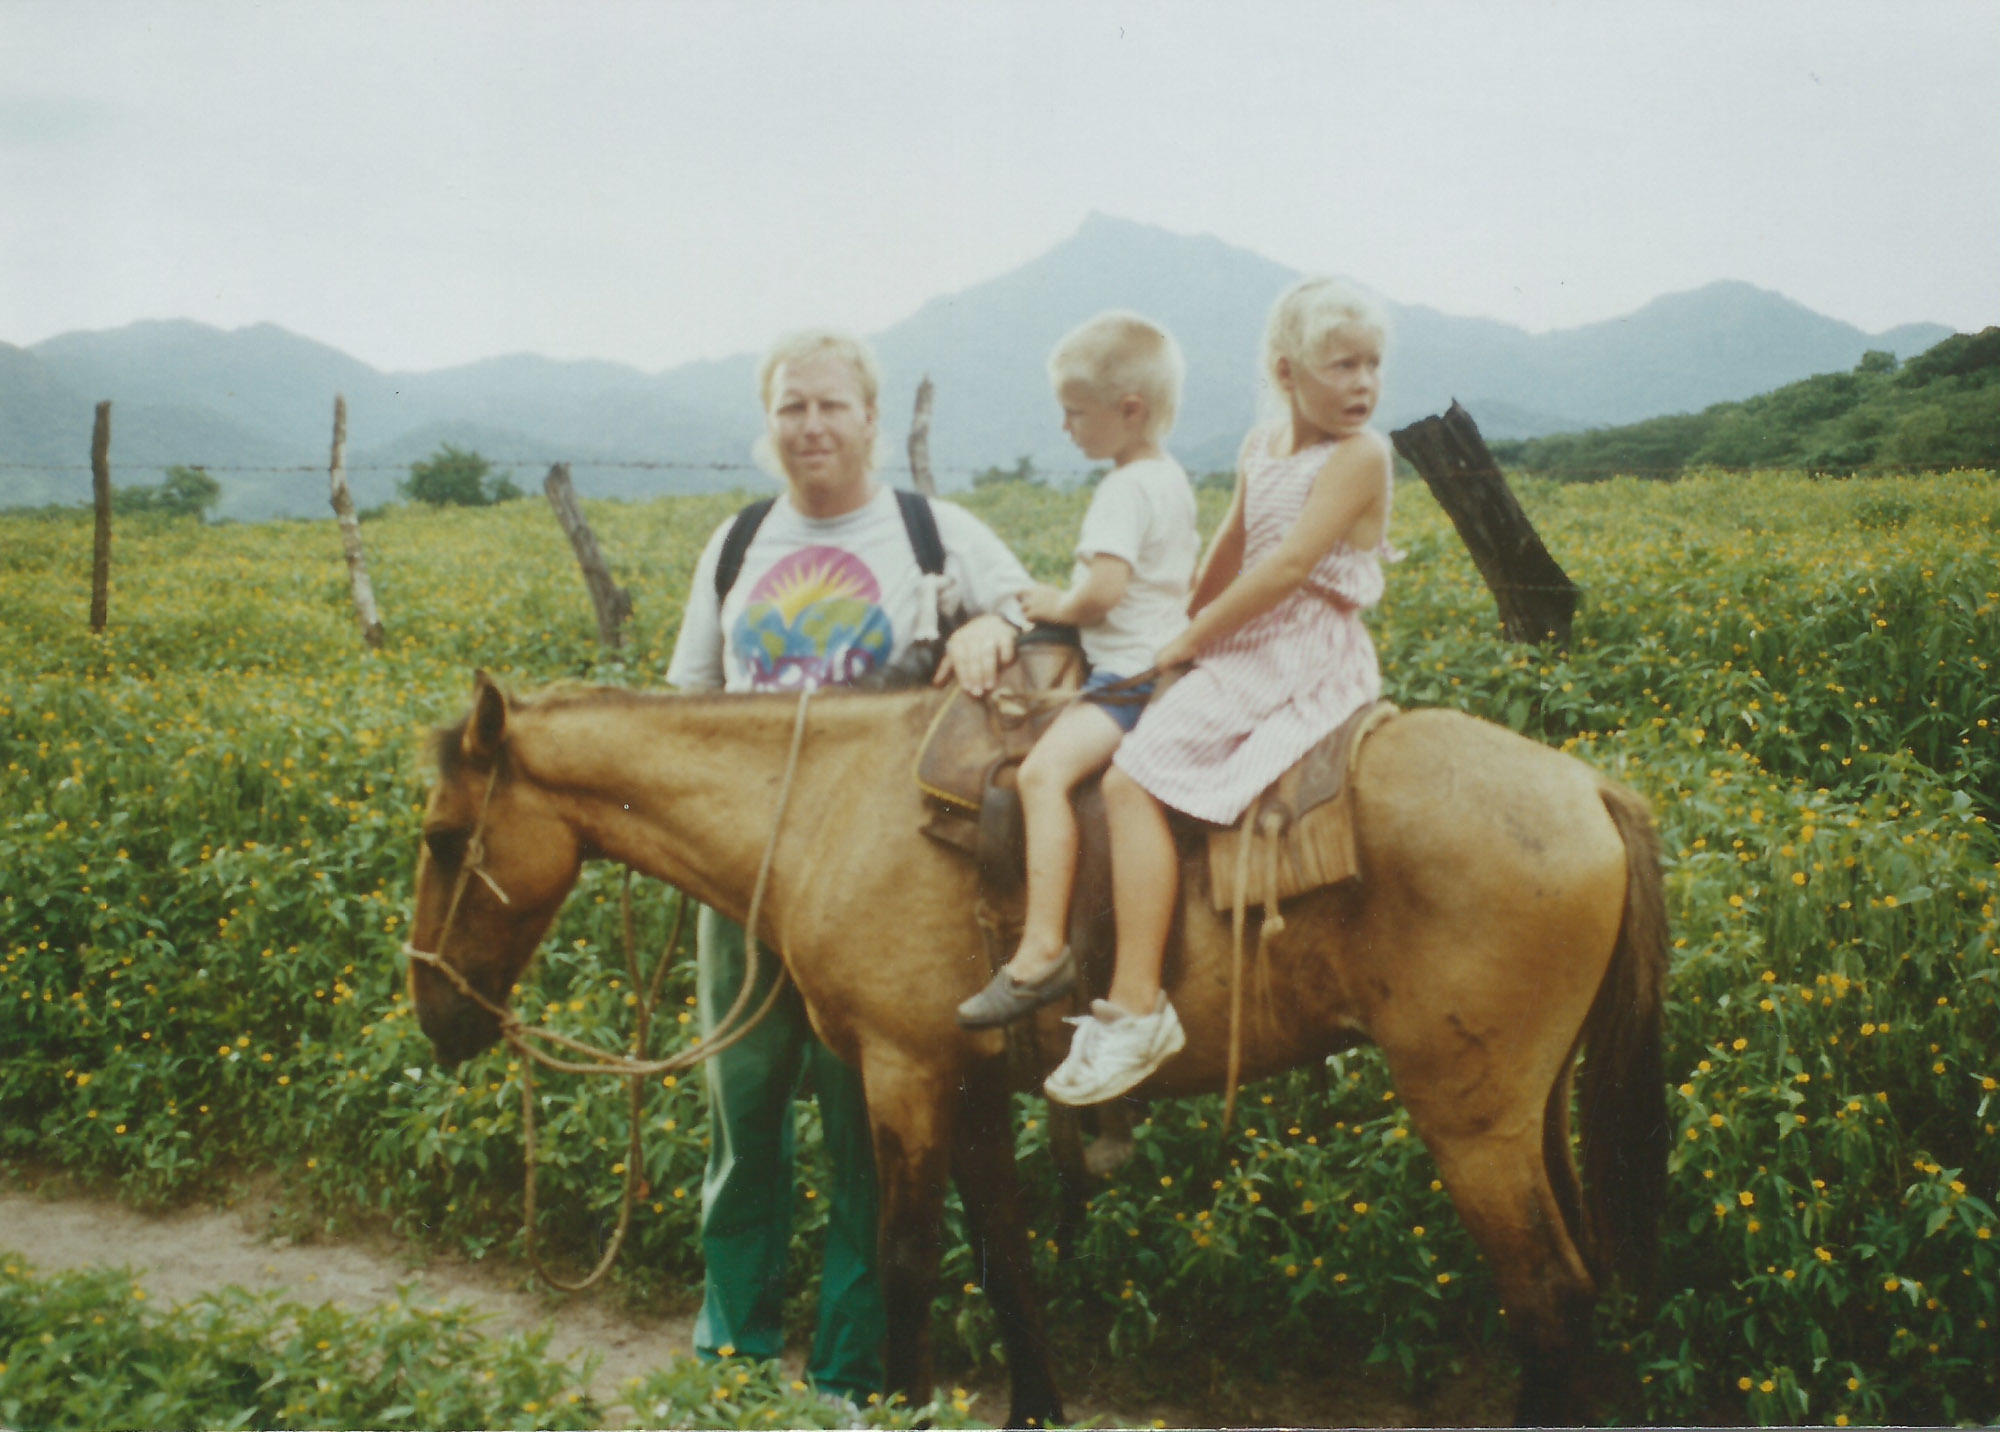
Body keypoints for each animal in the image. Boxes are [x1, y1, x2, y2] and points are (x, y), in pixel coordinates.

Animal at [402, 676, 1656, 1424]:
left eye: (444, 837)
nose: (434, 1012)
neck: (824, 805)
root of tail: (1590, 786)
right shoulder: (971, 1086)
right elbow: (1004, 1258)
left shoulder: (903, 1073)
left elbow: (909, 1257)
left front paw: (903, 1399)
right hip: (1528, 1110)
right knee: (1570, 1287)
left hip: (1472, 1120)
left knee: (1546, 1295)